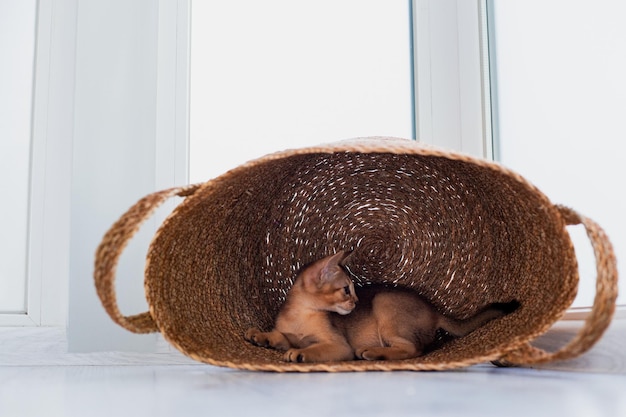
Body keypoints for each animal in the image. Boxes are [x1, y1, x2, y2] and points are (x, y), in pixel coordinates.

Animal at [244, 250, 516, 360]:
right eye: (346, 289)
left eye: (354, 290)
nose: (356, 302)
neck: (300, 314)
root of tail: (434, 310)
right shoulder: (289, 334)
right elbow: (280, 336)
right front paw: (259, 336)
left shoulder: (338, 345)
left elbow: (315, 349)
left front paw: (301, 354)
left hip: (384, 303)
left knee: (413, 349)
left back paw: (373, 352)